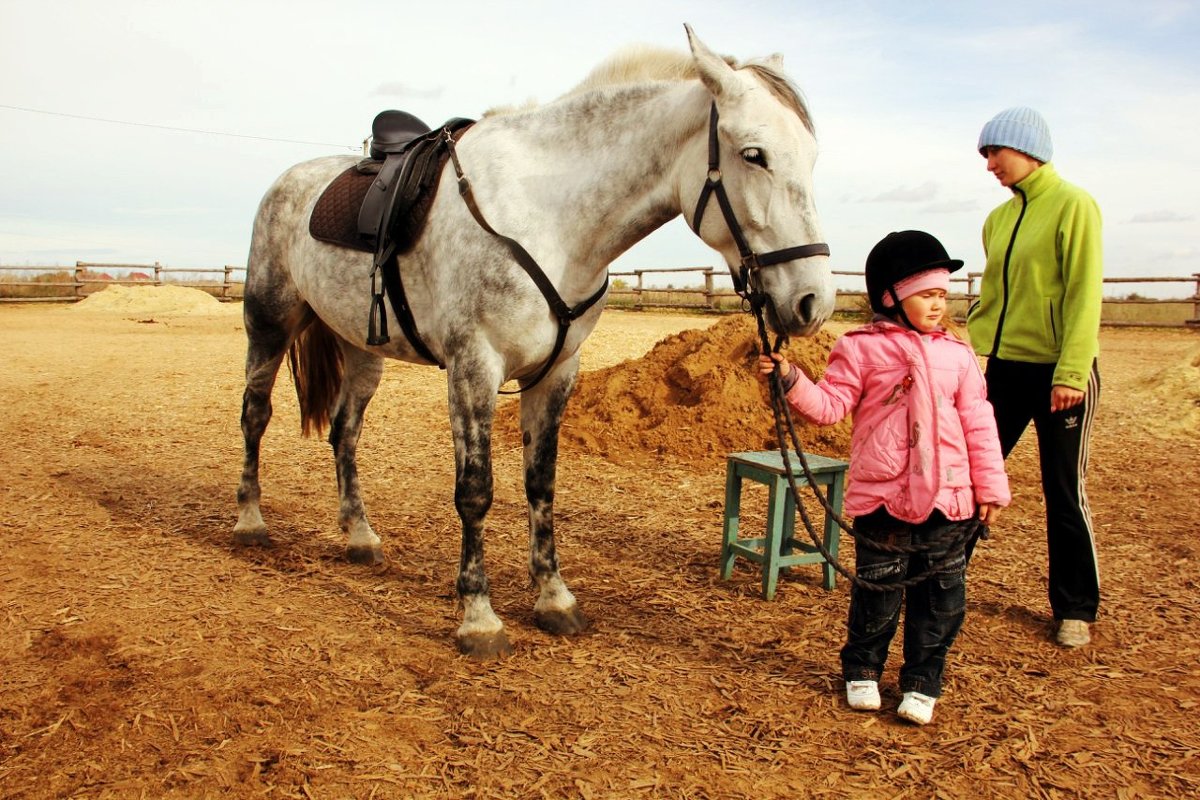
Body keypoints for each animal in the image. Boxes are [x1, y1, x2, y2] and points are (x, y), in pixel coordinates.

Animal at [234, 28, 835, 662]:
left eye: (811, 156)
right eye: (754, 154)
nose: (812, 301)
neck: (550, 218)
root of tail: (292, 181)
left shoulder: (555, 373)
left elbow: (540, 485)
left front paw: (553, 599)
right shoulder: (473, 367)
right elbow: (475, 492)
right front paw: (478, 617)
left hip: (362, 351)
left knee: (344, 432)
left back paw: (359, 535)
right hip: (267, 324)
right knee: (255, 415)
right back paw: (250, 523)